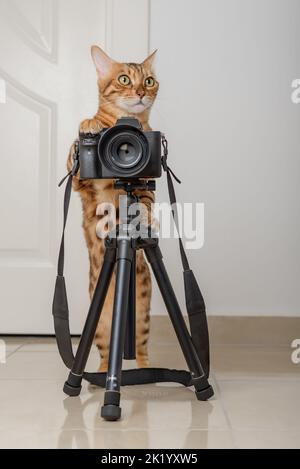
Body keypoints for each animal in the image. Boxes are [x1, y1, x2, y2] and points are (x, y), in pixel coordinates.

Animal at [66, 45, 158, 372]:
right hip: (103, 324)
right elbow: (75, 155)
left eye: (149, 81)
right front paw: (88, 124)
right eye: (124, 79)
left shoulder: (144, 187)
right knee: (106, 355)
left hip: (142, 316)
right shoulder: (80, 180)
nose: (141, 93)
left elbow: (145, 204)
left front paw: (143, 220)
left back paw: (147, 372)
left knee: (142, 351)